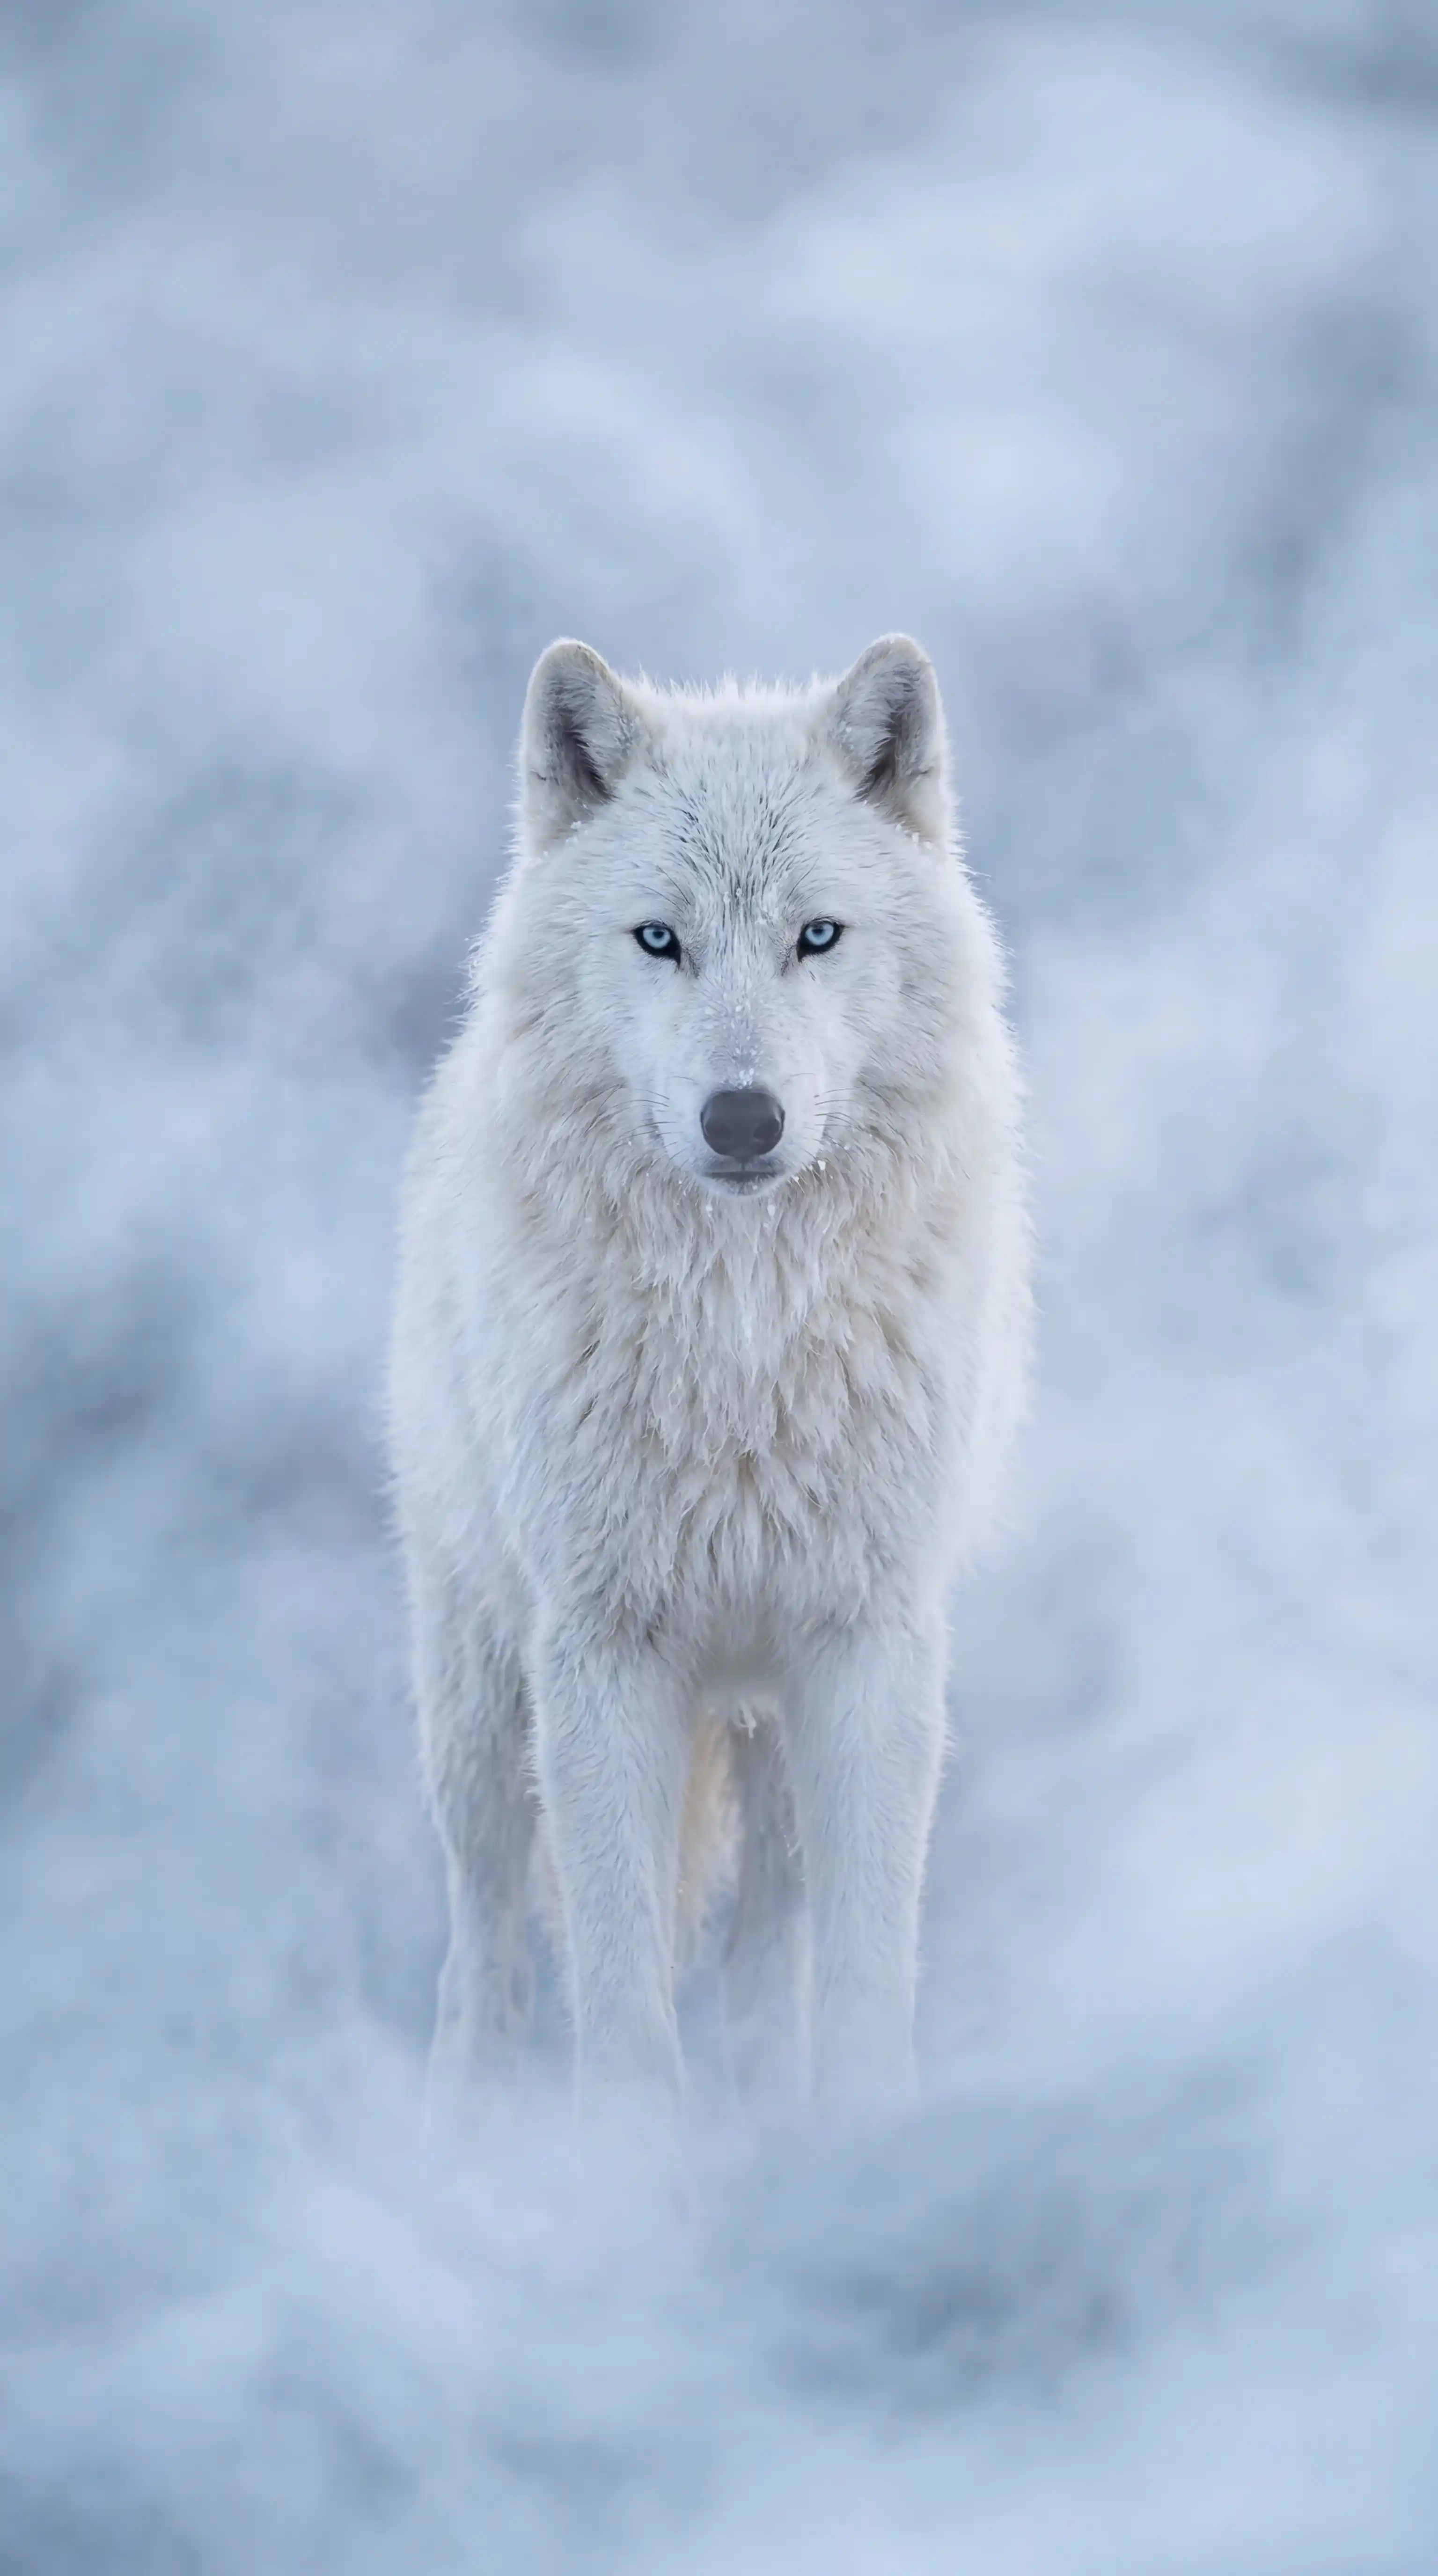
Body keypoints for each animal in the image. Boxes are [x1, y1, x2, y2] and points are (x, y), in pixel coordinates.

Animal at [389, 635, 1030, 2123]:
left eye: (815, 936)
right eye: (660, 939)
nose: (744, 1120)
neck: (743, 1347)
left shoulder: (869, 1647)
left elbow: (861, 1962)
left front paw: (868, 2139)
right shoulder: (601, 1650)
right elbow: (620, 1987)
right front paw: (629, 2168)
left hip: (772, 1728)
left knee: (763, 1950)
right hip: (479, 1700)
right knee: (485, 1934)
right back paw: (460, 2126)